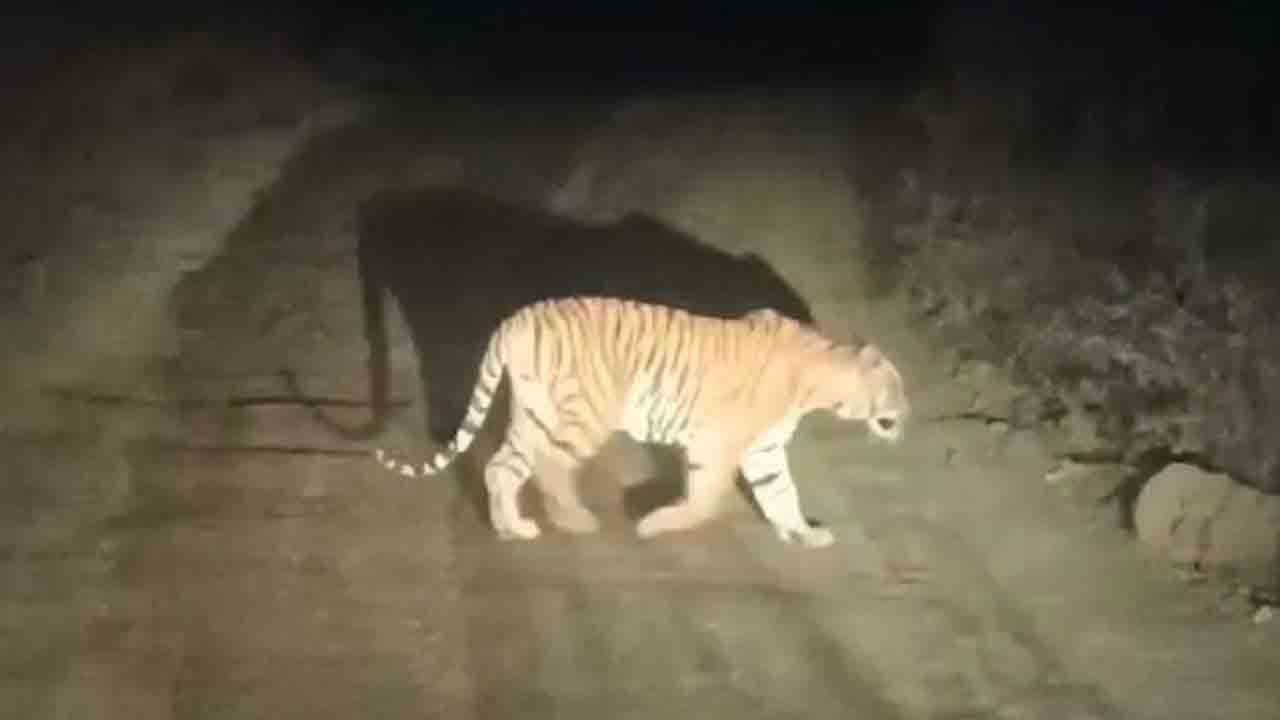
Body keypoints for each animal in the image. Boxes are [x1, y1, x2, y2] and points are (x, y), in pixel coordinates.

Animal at [374, 296, 908, 547]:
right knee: (550, 467)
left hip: (533, 413)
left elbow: (782, 495)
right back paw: (574, 520)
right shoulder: (716, 444)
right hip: (584, 415)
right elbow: (705, 501)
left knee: (501, 467)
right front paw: (655, 525)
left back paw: (514, 529)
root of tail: (515, 320)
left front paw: (804, 534)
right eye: (897, 390)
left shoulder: (765, 449)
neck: (820, 380)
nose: (906, 419)